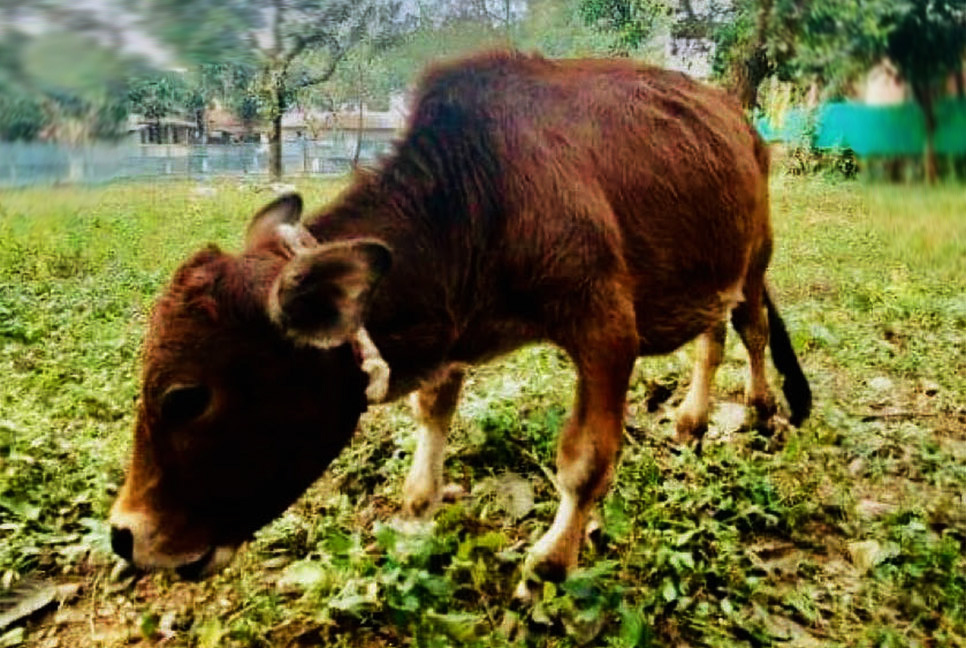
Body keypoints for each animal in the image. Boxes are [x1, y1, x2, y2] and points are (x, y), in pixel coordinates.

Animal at [111, 52, 808, 588]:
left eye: (187, 398)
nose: (123, 535)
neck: (483, 193)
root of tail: (739, 119)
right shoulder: (451, 329)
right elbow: (434, 409)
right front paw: (419, 508)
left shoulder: (608, 328)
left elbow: (584, 459)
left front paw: (551, 563)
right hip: (712, 264)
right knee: (712, 334)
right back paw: (691, 417)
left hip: (756, 255)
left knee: (752, 331)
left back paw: (759, 406)